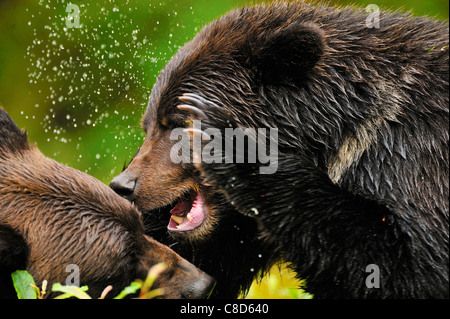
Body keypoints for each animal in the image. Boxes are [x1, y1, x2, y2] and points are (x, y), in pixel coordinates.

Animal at [110, 1, 448, 300]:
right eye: (148, 126)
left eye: (177, 123)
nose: (124, 185)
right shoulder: (235, 230)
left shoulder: (409, 157)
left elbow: (409, 268)